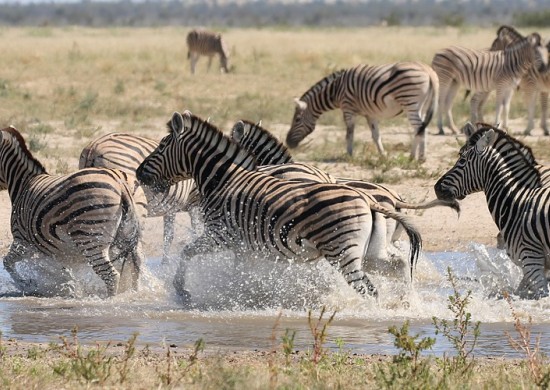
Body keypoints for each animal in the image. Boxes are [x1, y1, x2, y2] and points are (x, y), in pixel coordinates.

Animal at [0, 126, 146, 298]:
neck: (24, 184)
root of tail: (120, 183)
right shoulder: (61, 253)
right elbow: (66, 273)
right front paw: (69, 288)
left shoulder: (22, 240)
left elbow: (7, 262)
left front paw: (26, 284)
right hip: (132, 233)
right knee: (136, 265)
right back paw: (134, 292)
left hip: (91, 236)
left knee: (111, 275)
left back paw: (108, 300)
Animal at [80, 133, 203, 264]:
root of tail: (94, 145)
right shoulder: (193, 204)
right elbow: (197, 232)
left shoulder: (171, 207)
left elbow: (168, 236)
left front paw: (165, 264)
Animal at [137, 111, 422, 304]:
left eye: (161, 146)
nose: (138, 174)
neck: (225, 179)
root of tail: (368, 199)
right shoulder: (245, 246)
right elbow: (241, 273)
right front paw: (245, 296)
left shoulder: (221, 235)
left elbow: (186, 252)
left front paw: (182, 292)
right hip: (371, 253)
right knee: (398, 266)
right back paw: (405, 304)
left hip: (342, 252)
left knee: (368, 288)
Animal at [284, 61, 440, 160]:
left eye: (297, 119)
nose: (288, 143)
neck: (336, 90)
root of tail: (428, 71)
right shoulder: (370, 114)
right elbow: (376, 135)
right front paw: (383, 155)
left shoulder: (347, 109)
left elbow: (349, 134)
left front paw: (349, 155)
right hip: (421, 106)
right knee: (420, 128)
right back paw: (412, 156)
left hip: (410, 102)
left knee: (420, 128)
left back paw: (421, 158)